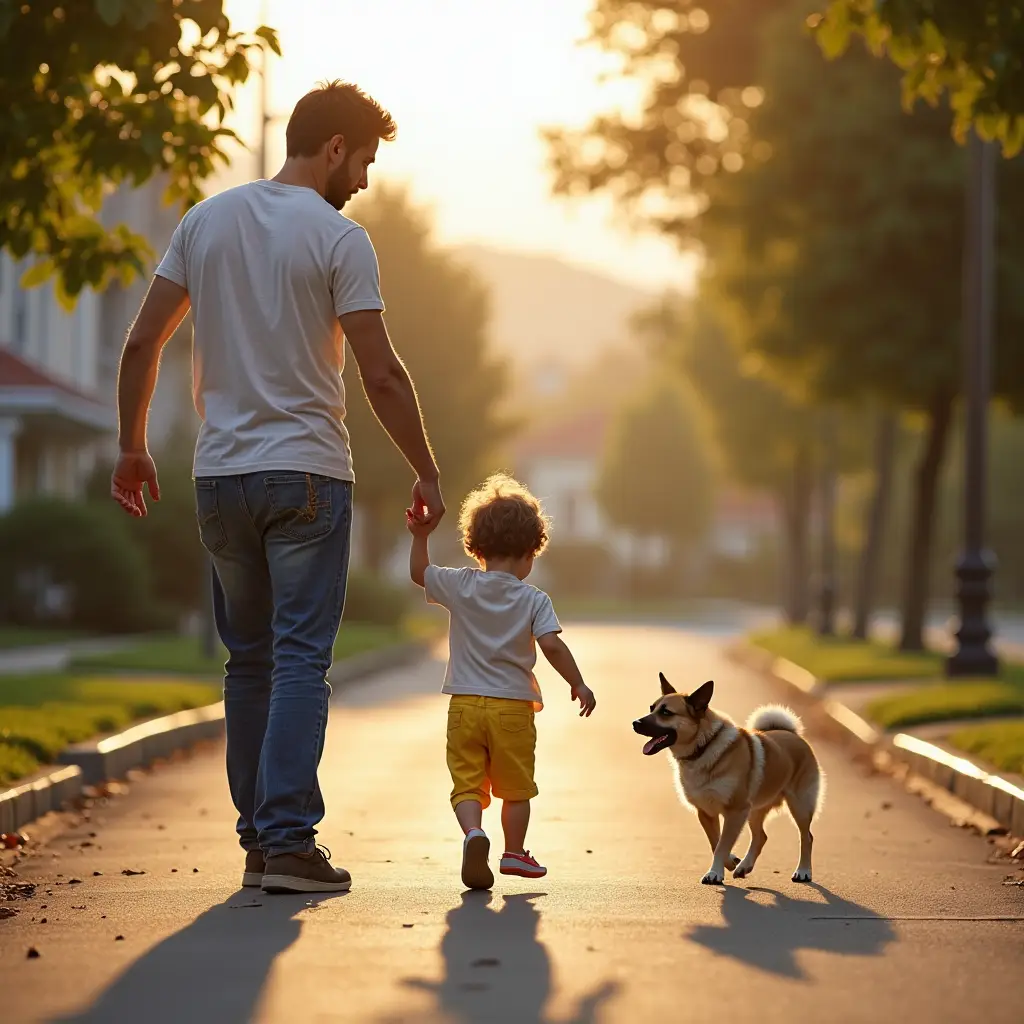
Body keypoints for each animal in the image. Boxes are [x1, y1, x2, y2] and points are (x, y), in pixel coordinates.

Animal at [630, 675, 823, 884]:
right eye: (652, 708)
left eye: (666, 712)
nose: (635, 723)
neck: (704, 746)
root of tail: (792, 734)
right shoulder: (706, 812)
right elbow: (717, 843)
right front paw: (729, 863)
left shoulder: (735, 811)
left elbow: (722, 844)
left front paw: (714, 872)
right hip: (754, 810)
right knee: (761, 837)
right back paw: (744, 866)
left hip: (799, 805)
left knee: (807, 837)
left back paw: (803, 871)